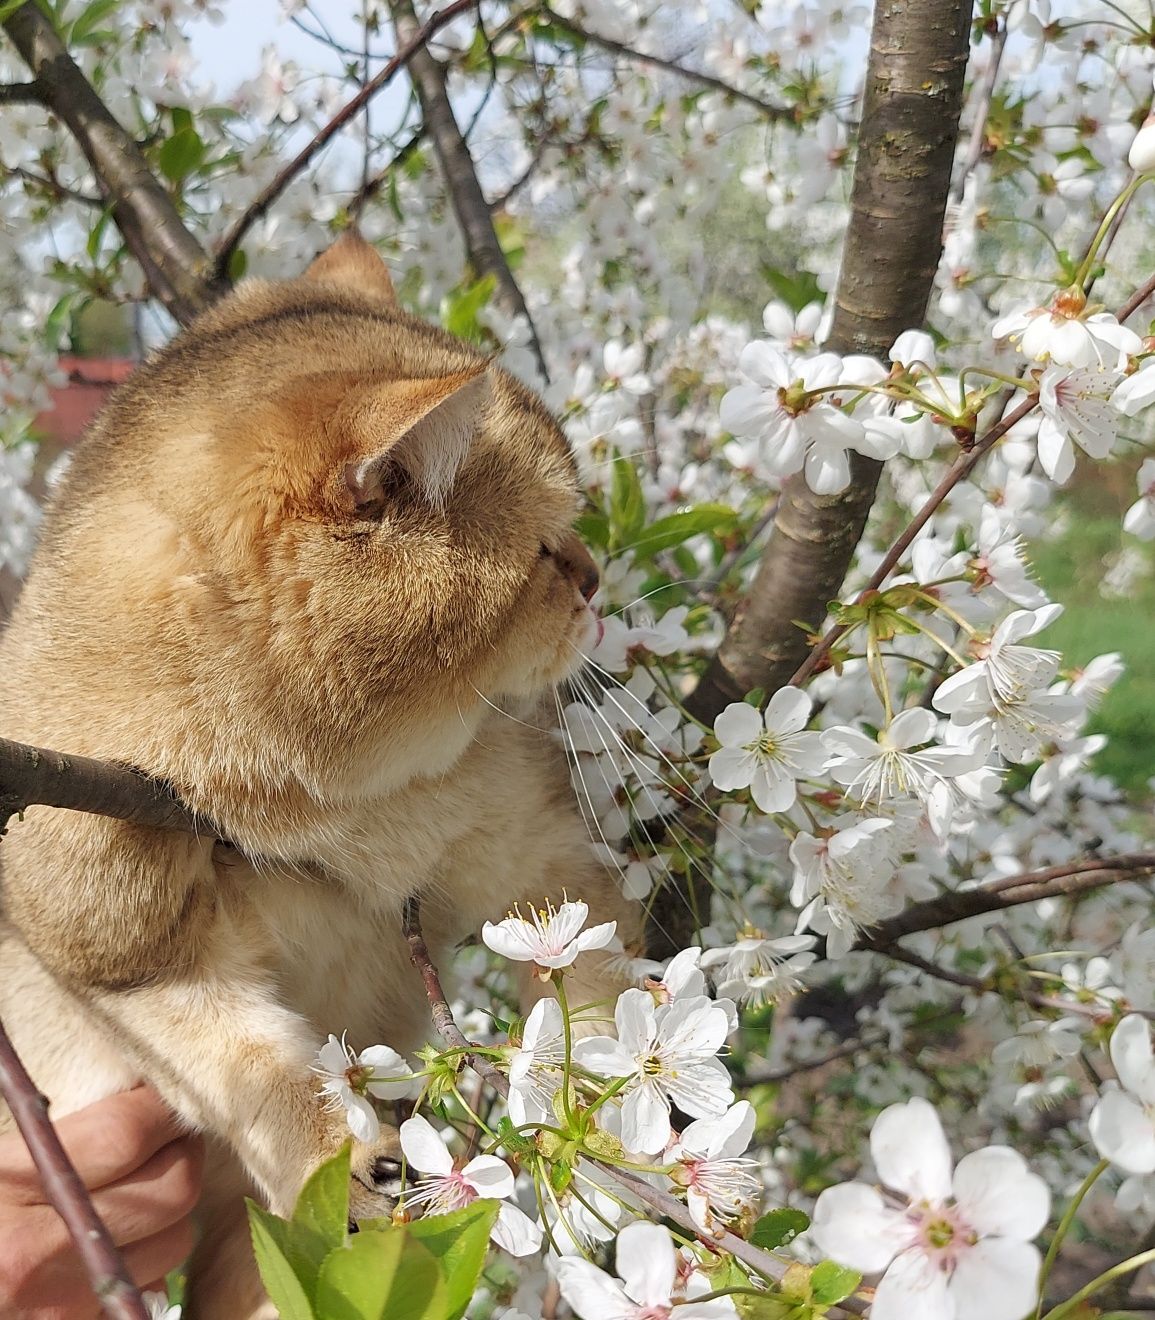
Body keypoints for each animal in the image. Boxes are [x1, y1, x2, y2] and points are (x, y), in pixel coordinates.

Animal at [0, 237, 636, 1320]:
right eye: (550, 550)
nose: (597, 580)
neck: (325, 804)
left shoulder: (545, 864)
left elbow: (597, 1011)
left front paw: (605, 1133)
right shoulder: (107, 955)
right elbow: (253, 1070)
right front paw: (332, 1160)